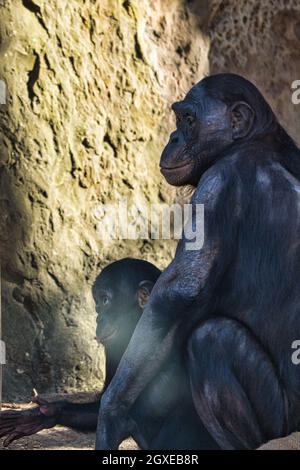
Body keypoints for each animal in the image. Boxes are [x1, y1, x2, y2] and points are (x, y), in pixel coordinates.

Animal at [95, 71, 300, 450]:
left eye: (188, 120)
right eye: (179, 120)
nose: (173, 136)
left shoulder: (217, 183)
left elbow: (178, 294)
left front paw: (110, 412)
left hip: (284, 420)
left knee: (212, 337)